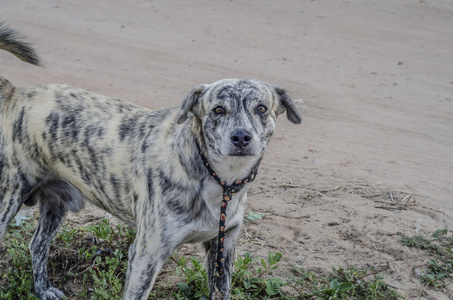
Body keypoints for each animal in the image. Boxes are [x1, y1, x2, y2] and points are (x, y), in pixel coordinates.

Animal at [0, 23, 300, 300]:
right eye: (218, 110)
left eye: (261, 108)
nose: (241, 137)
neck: (216, 179)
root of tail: (16, 95)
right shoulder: (146, 255)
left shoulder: (222, 250)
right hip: (7, 202)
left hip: (57, 203)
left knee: (37, 244)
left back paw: (42, 289)